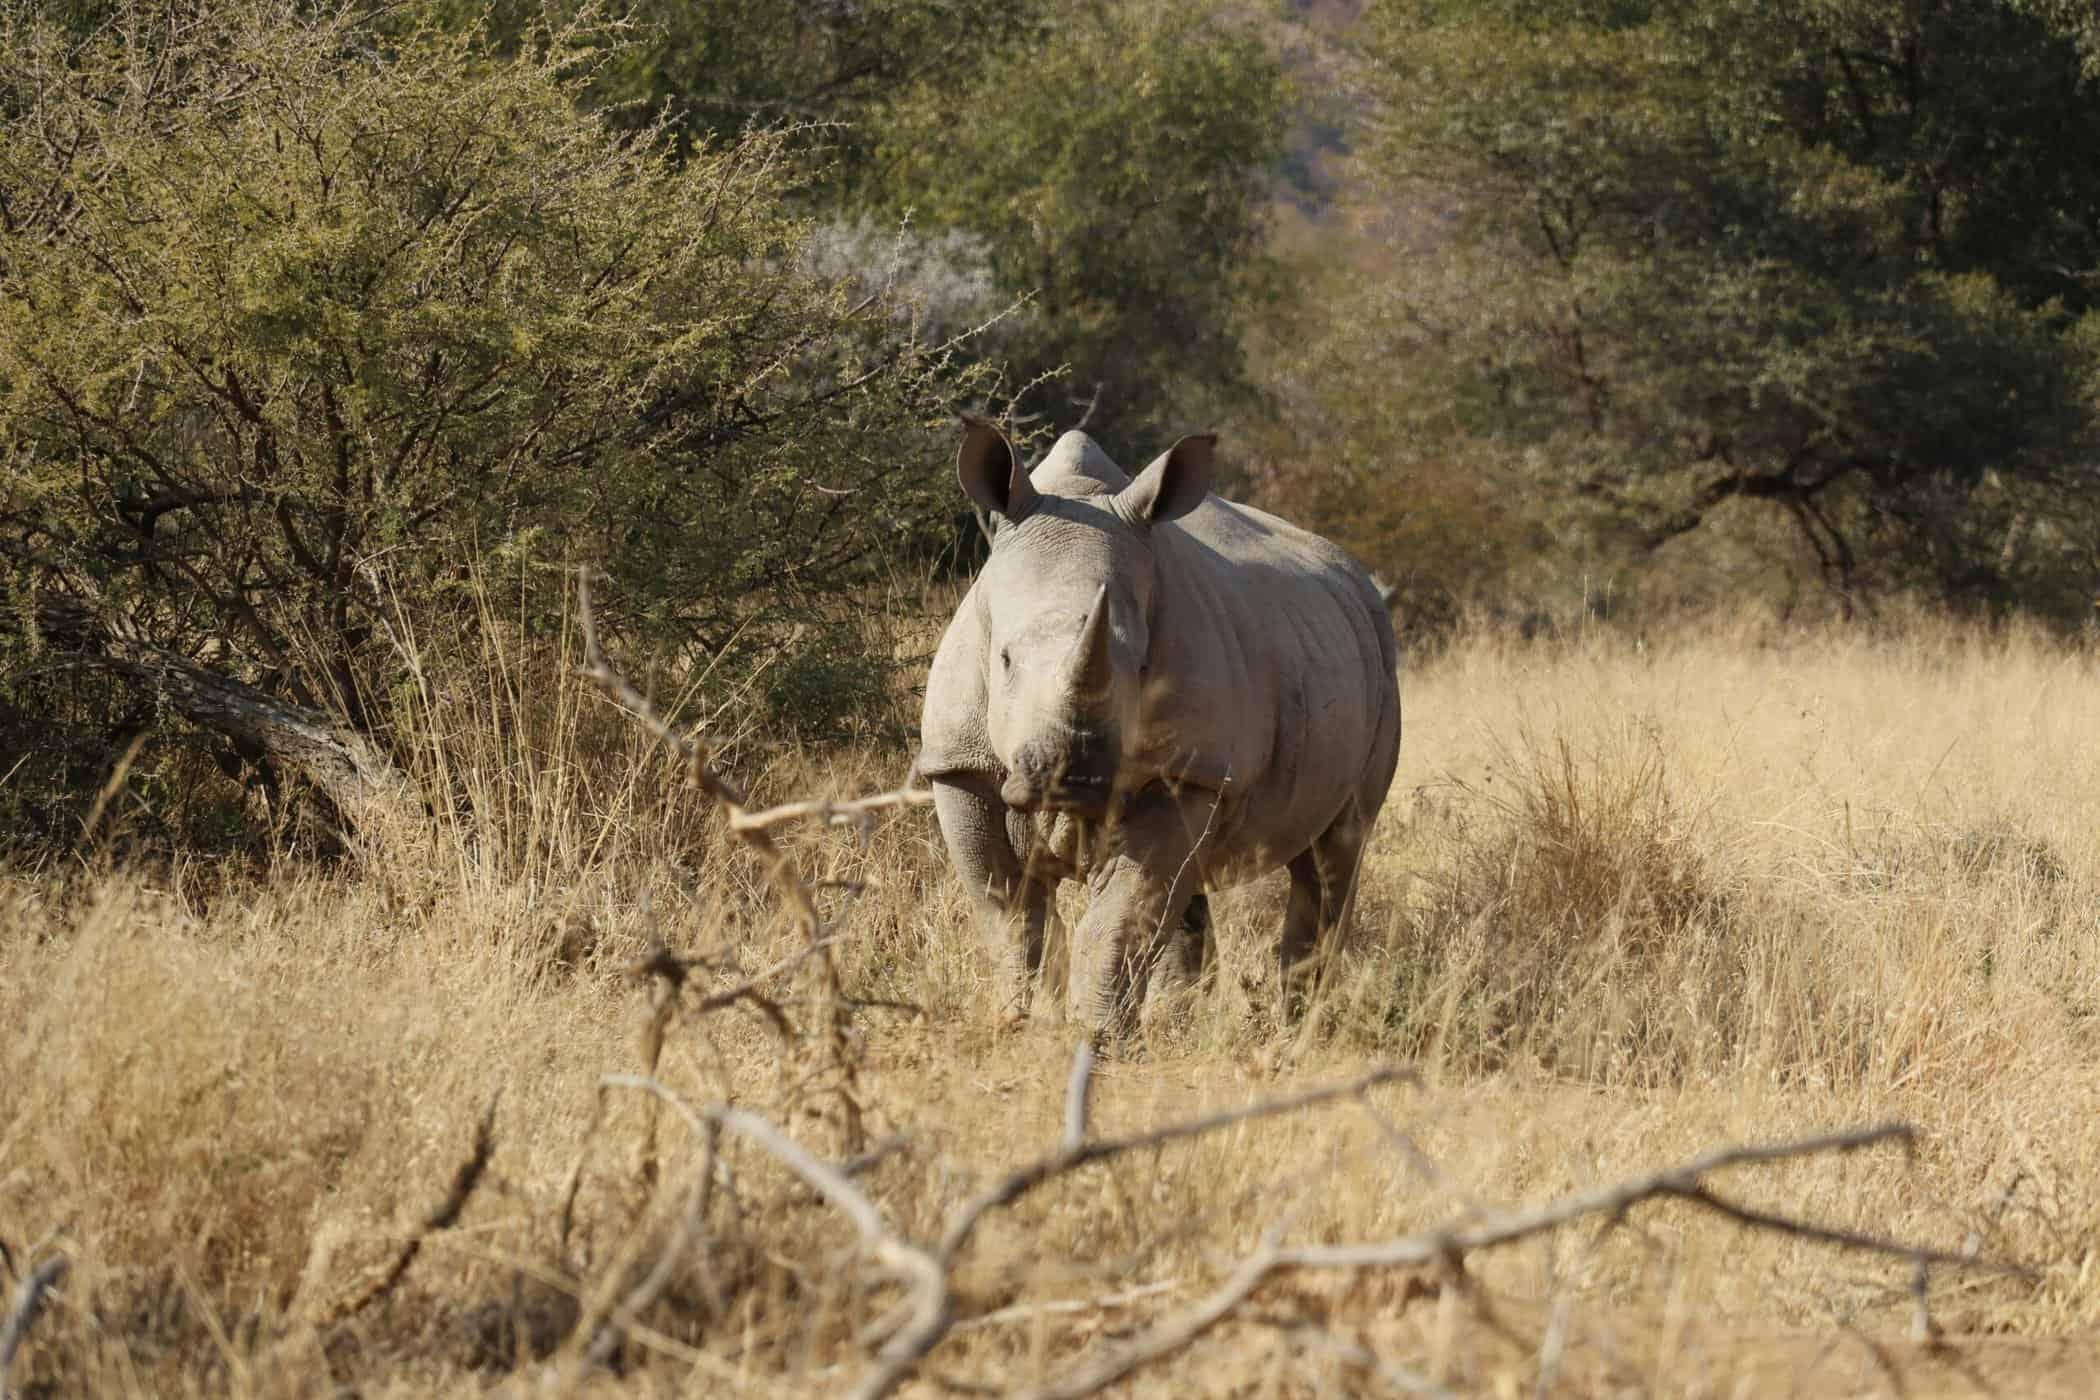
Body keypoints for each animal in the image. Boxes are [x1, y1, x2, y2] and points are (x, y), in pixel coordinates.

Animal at [915, 415, 1394, 1028]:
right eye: (1003, 660)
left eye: (1141, 666)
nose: (1074, 778)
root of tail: (1352, 573)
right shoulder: (959, 763)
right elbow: (1010, 912)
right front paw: (1025, 1022)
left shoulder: (1189, 771)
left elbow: (1123, 915)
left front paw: (1094, 1035)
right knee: (1189, 891)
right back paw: (1180, 1020)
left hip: (1376, 652)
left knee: (1334, 852)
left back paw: (1296, 1023)